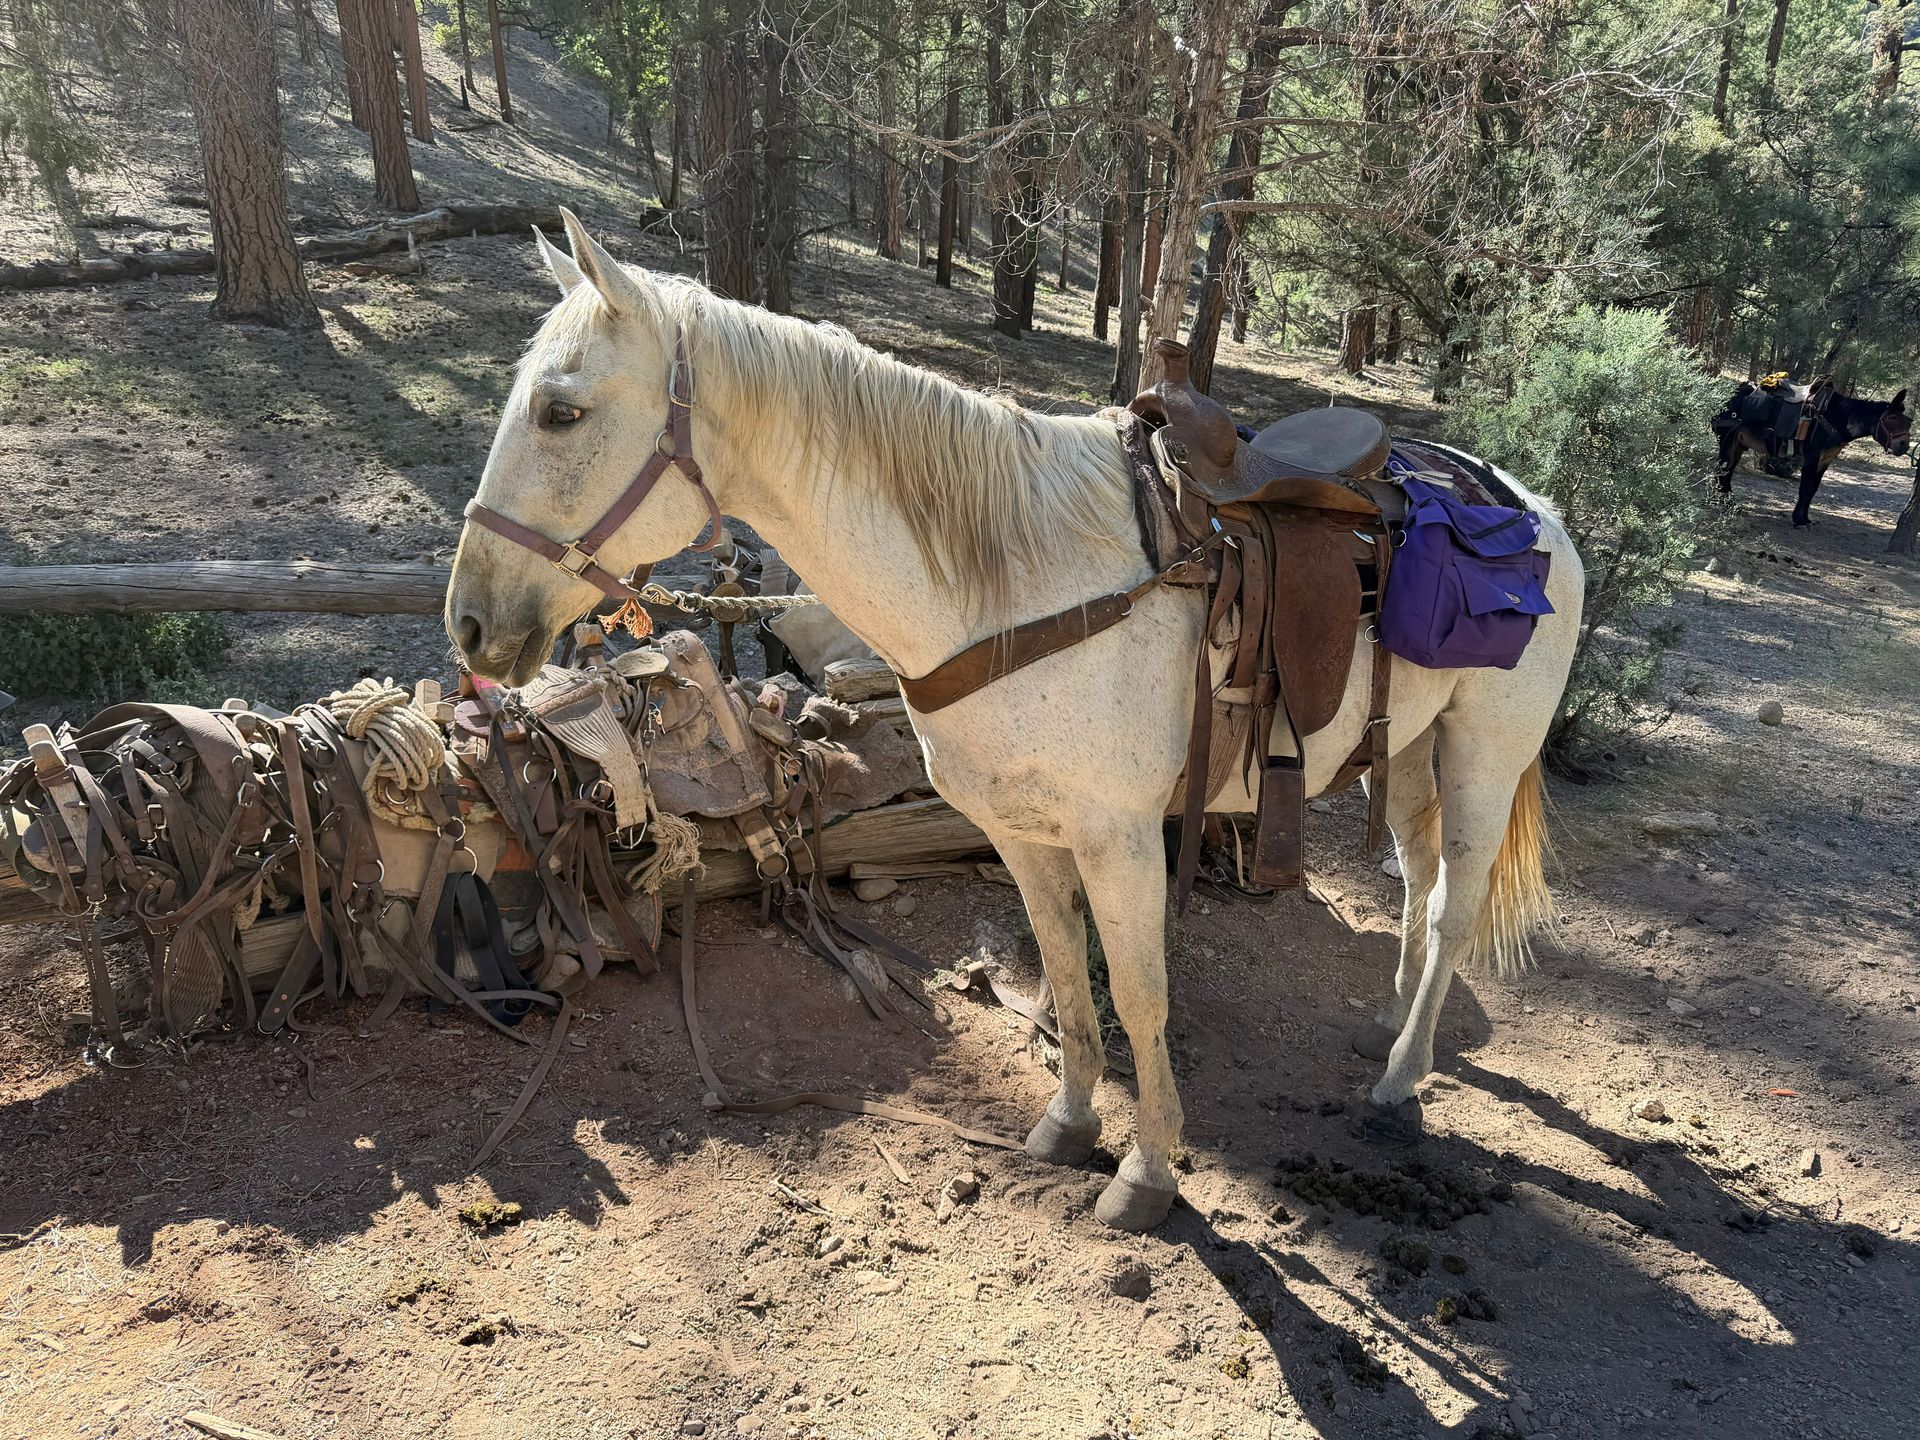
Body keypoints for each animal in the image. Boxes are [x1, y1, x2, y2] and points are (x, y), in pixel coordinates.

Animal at [443, 212, 1585, 1232]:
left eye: (559, 411)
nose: (470, 622)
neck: (1017, 585)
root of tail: (1528, 503)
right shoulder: (1022, 834)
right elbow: (1067, 980)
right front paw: (1072, 1129)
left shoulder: (1121, 839)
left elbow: (1139, 996)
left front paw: (1149, 1176)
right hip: (1409, 749)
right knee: (1422, 884)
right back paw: (1393, 1029)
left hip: (1483, 755)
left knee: (1454, 907)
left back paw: (1400, 1086)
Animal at [1714, 382, 1910, 527]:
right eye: (1891, 418)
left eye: (1908, 421)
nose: (1904, 446)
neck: (1840, 418)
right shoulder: (1812, 457)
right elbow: (1805, 488)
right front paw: (1798, 520)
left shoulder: (1826, 459)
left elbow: (1813, 489)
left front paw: (1805, 519)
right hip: (1727, 441)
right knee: (1721, 471)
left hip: (1738, 445)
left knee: (1726, 473)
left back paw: (1729, 504)